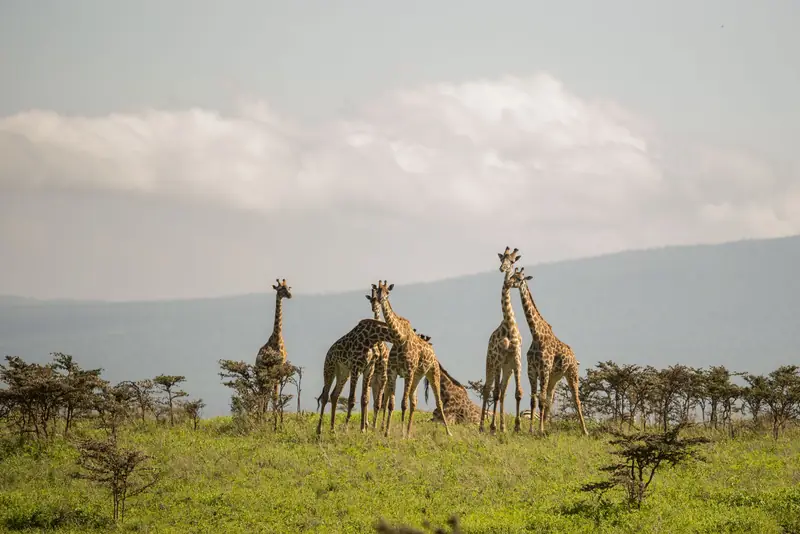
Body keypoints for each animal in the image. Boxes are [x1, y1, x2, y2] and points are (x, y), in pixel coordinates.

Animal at [374, 280, 452, 438]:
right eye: (378, 290)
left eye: (388, 292)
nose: (380, 299)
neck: (399, 338)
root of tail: (433, 352)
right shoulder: (393, 371)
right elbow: (391, 404)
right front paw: (387, 432)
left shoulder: (408, 372)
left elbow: (403, 404)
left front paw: (401, 434)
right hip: (418, 375)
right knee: (413, 400)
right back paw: (409, 432)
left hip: (432, 372)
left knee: (438, 402)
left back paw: (448, 432)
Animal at [514, 266, 589, 435]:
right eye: (512, 276)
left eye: (520, 278)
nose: (511, 283)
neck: (536, 335)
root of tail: (574, 356)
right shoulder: (532, 370)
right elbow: (534, 400)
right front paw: (532, 430)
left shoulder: (544, 369)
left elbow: (541, 400)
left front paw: (540, 430)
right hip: (555, 377)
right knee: (550, 398)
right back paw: (547, 425)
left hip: (571, 373)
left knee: (576, 400)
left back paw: (585, 431)